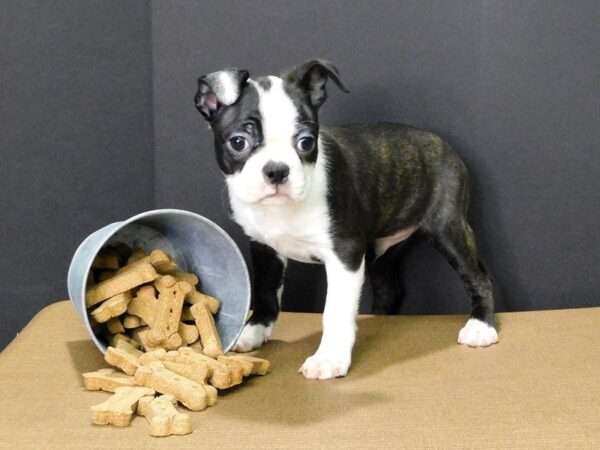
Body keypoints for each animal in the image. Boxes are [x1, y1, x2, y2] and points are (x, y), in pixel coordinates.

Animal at [195, 59, 500, 380]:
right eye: (238, 142)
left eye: (306, 142)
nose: (277, 170)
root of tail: (441, 142)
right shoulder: (264, 247)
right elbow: (265, 291)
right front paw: (253, 332)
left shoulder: (345, 254)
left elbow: (335, 311)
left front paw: (329, 357)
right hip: (384, 248)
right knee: (389, 286)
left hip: (448, 228)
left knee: (479, 277)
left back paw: (481, 327)